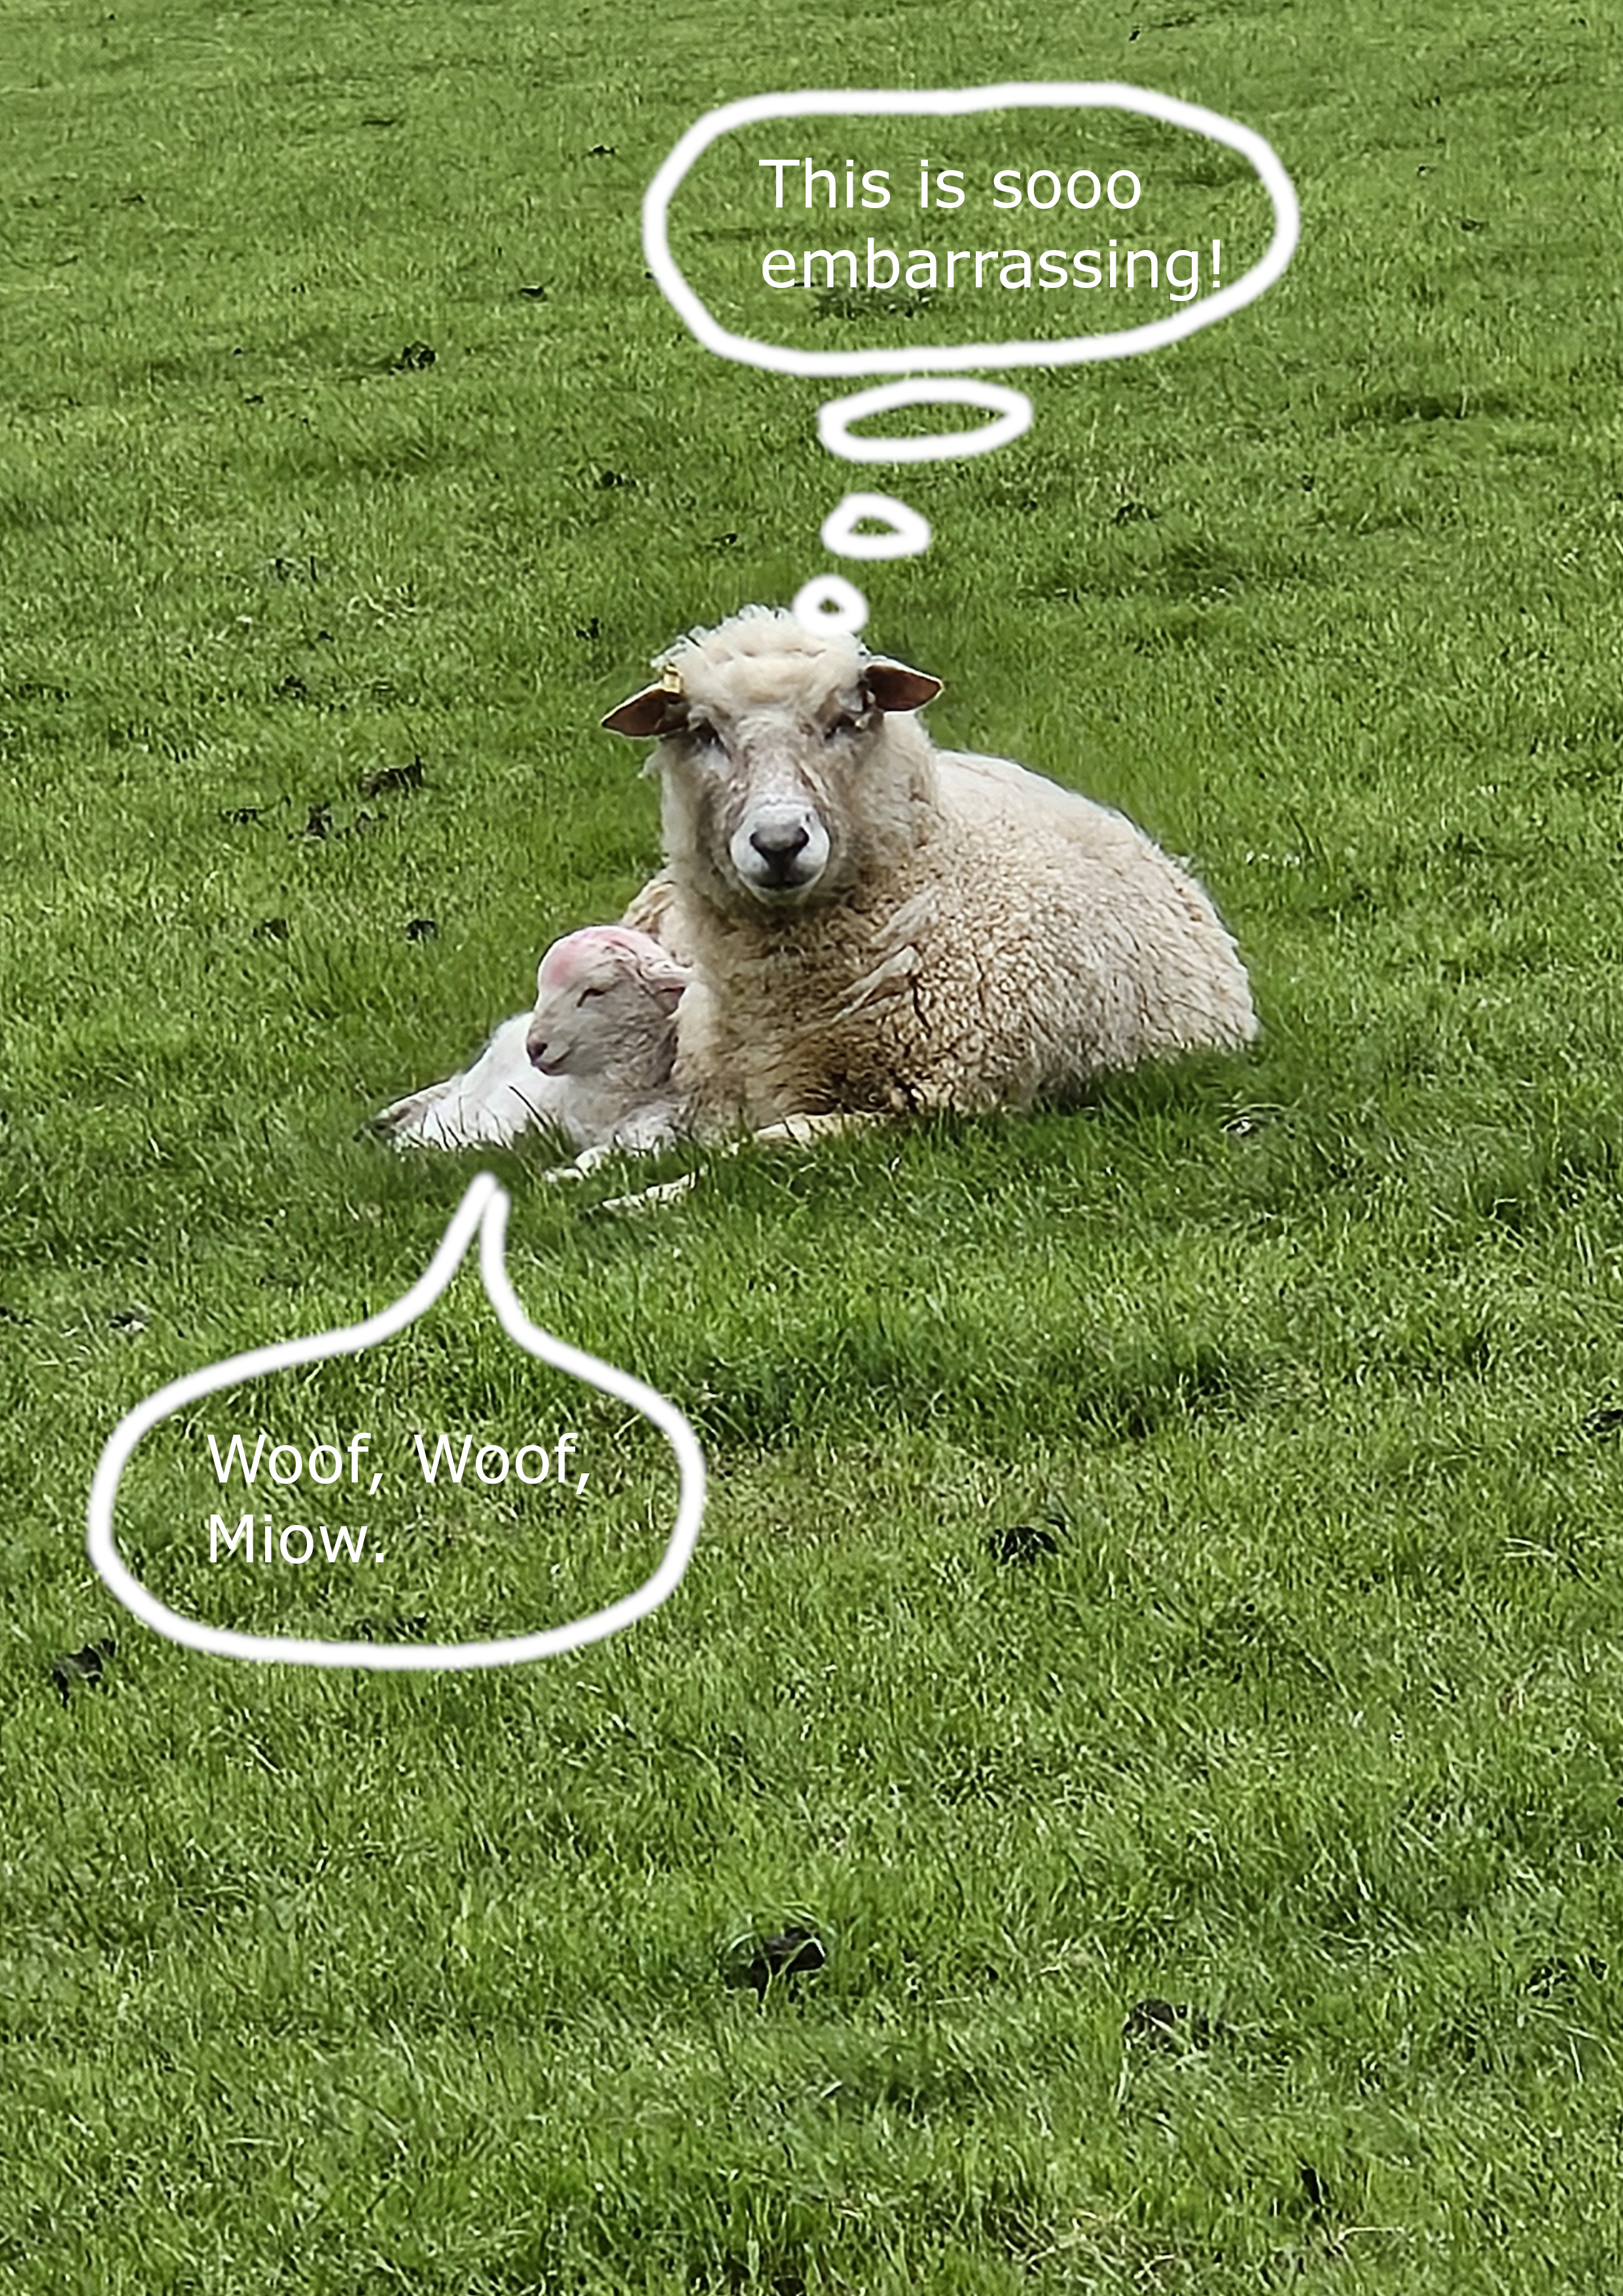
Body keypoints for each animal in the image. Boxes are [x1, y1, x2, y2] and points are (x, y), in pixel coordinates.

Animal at [605, 606, 1257, 1136]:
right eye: (702, 732)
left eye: (843, 720)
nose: (780, 843)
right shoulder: (716, 1099)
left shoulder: (936, 1104)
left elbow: (769, 1145)